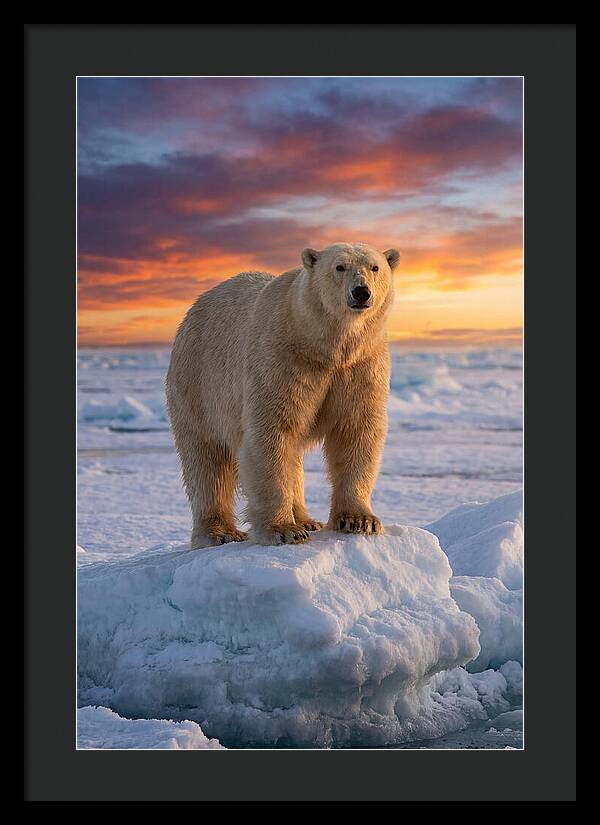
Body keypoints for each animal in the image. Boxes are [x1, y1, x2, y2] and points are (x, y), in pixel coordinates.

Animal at [166, 242, 400, 548]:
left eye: (374, 267)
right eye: (339, 267)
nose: (361, 292)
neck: (324, 346)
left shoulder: (361, 366)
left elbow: (356, 430)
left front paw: (360, 520)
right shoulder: (281, 358)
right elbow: (271, 432)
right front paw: (284, 530)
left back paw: (307, 519)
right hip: (198, 383)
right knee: (207, 460)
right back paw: (219, 532)